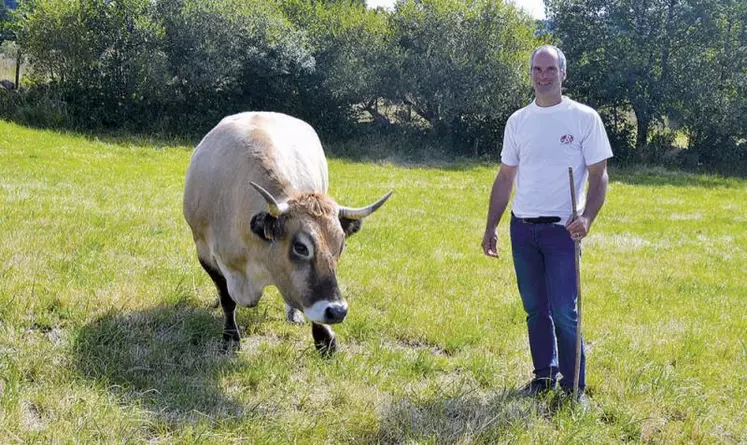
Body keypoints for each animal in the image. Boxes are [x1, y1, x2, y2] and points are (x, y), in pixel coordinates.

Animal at [183, 112, 392, 356]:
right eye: (300, 247)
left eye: (340, 245)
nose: (338, 311)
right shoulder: (204, 251)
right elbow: (226, 298)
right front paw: (230, 337)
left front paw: (324, 338)